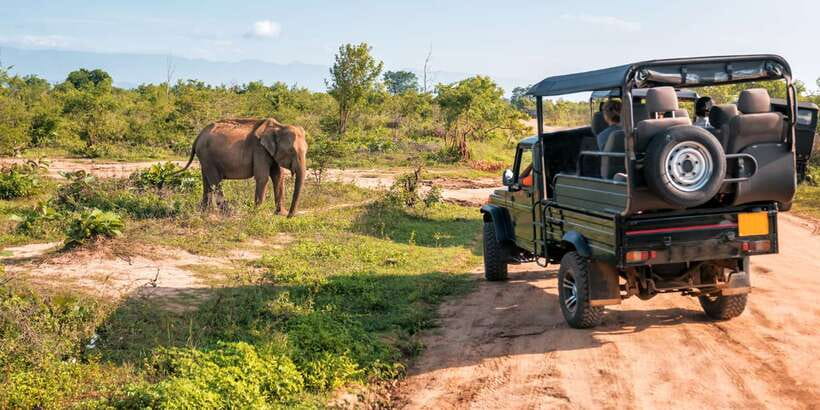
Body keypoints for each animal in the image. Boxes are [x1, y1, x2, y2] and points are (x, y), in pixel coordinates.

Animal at [175, 118, 307, 217]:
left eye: (306, 151)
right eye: (291, 151)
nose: (290, 216)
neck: (279, 127)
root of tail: (198, 136)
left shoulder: (272, 153)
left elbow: (278, 177)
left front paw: (280, 214)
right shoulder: (259, 149)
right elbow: (263, 178)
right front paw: (257, 213)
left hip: (205, 158)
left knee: (206, 181)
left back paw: (204, 212)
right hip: (207, 156)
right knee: (215, 181)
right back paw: (228, 212)